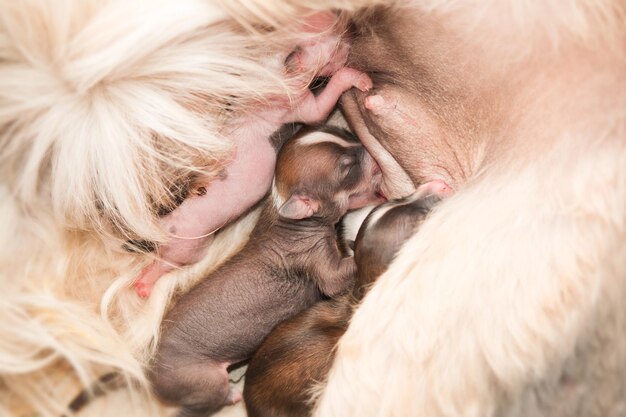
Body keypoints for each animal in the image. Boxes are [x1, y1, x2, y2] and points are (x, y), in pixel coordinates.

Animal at [149, 127, 382, 416]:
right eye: (348, 168)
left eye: (344, 132)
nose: (370, 149)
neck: (284, 207)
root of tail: (151, 375)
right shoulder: (314, 257)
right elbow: (334, 278)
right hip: (200, 380)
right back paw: (231, 396)